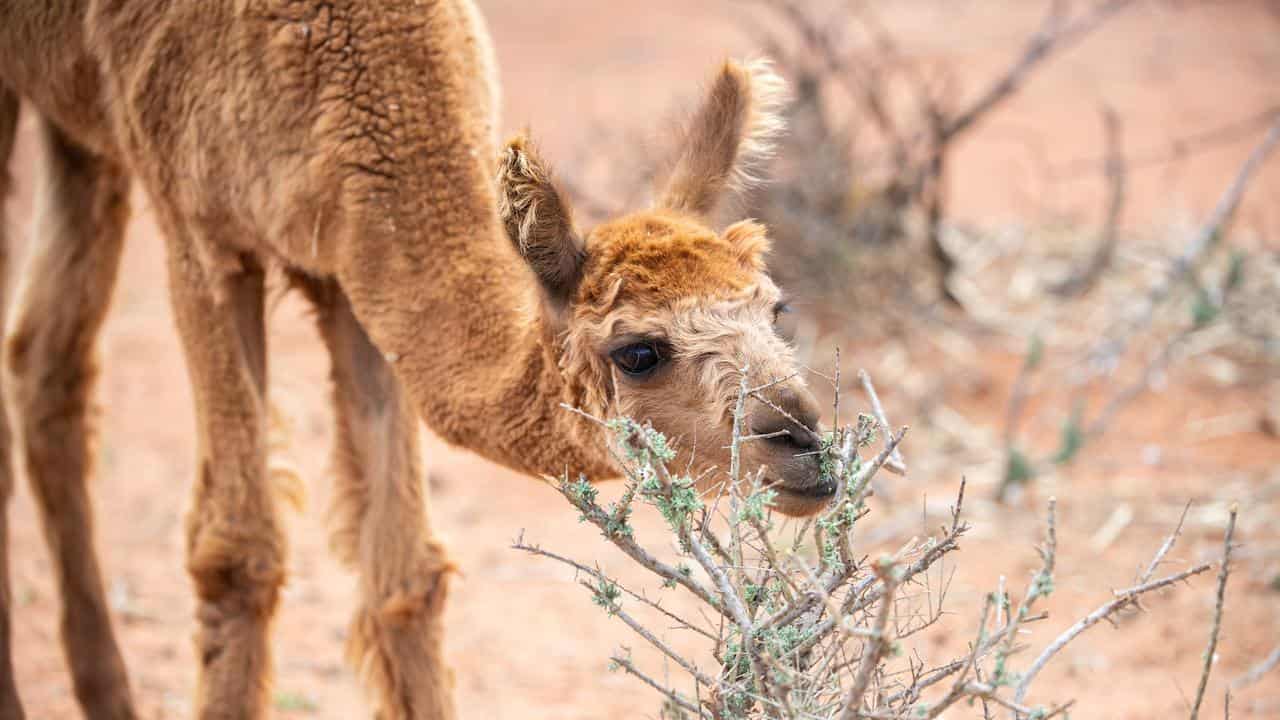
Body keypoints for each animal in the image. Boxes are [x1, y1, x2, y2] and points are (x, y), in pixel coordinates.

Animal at [0, 1, 829, 717]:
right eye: (640, 352)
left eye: (777, 309)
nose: (806, 446)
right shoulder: (198, 231)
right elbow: (237, 553)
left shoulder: (357, 281)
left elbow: (405, 572)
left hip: (78, 124)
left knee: (45, 359)